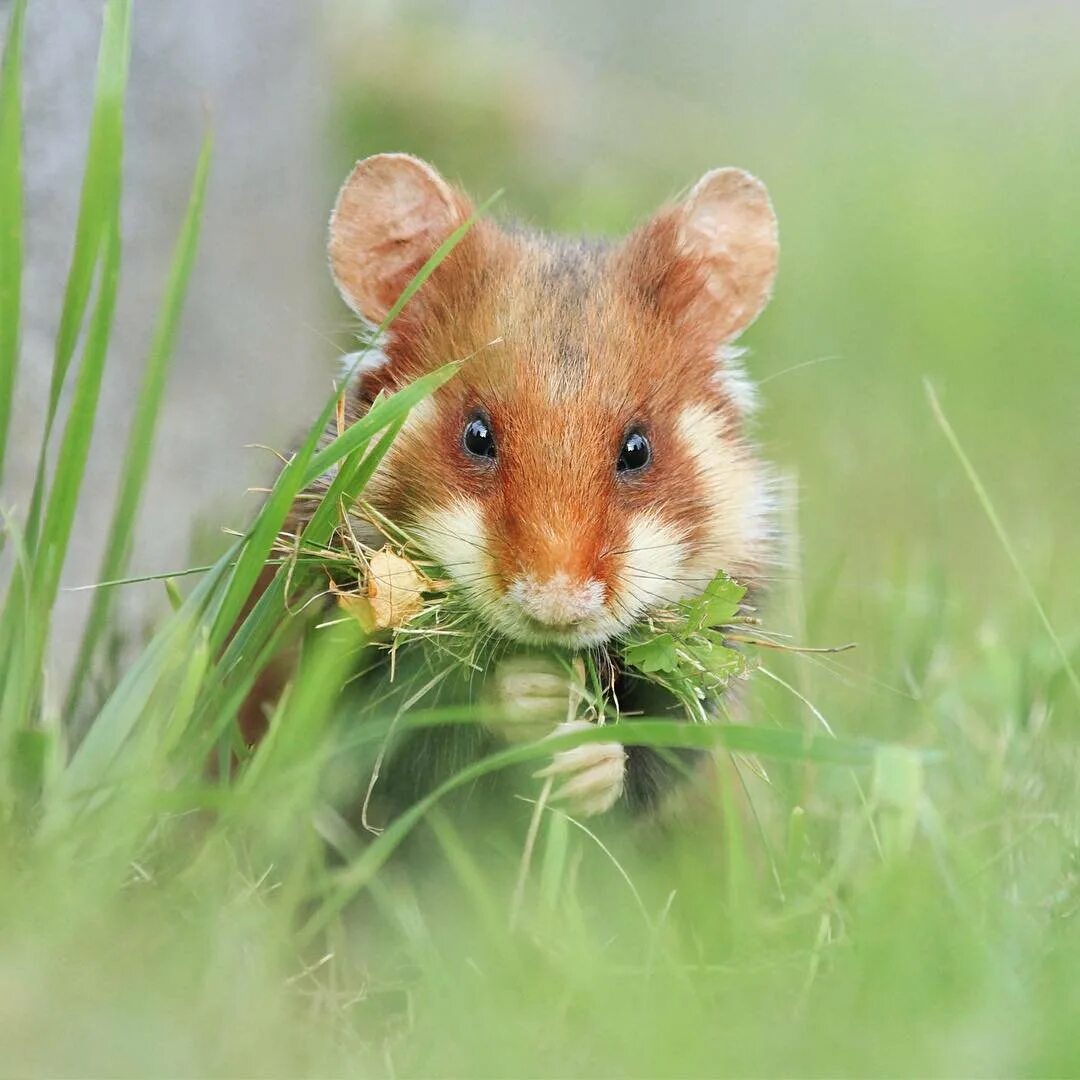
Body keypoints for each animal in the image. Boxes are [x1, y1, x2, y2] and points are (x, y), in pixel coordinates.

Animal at [268, 154, 781, 816]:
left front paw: (581, 764)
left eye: (637, 449)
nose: (556, 607)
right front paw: (534, 690)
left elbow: (660, 749)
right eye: (476, 435)